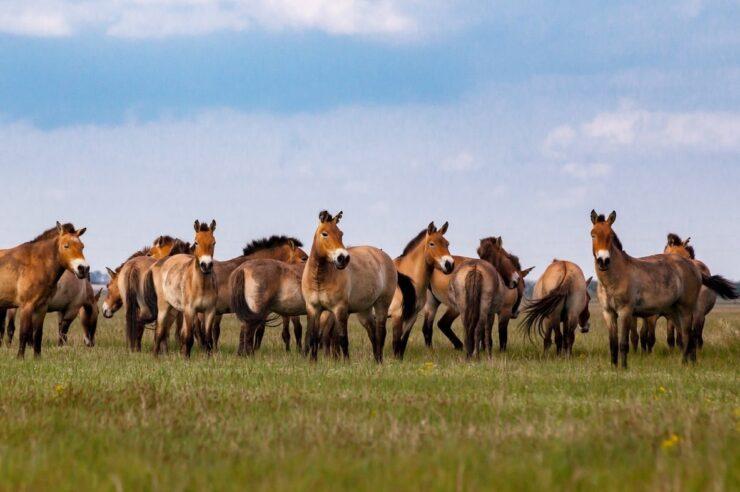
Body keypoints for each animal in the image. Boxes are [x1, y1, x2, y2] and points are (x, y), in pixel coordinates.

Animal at [0, 224, 89, 358]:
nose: (83, 268)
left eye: (82, 246)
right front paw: (20, 358)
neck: (35, 265)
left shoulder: (42, 307)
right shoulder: (26, 306)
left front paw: (37, 358)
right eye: (66, 245)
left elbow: (38, 334)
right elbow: (24, 333)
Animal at [145, 220, 218, 358]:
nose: (206, 265)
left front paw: (208, 358)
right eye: (196, 242)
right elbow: (188, 336)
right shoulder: (189, 311)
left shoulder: (209, 311)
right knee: (159, 330)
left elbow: (207, 338)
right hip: (164, 306)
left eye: (214, 242)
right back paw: (155, 356)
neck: (201, 285)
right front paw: (185, 358)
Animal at [300, 209, 416, 364]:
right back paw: (376, 360)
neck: (319, 279)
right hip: (365, 310)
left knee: (381, 333)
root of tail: (386, 257)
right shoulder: (313, 309)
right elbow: (312, 337)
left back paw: (380, 362)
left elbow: (343, 338)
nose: (343, 258)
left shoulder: (339, 309)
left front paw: (346, 363)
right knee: (372, 333)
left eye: (341, 233)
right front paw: (313, 363)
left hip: (382, 304)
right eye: (324, 234)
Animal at [384, 222, 454, 358]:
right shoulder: (396, 315)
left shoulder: (412, 316)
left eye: (447, 243)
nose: (449, 265)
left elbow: (403, 342)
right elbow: (396, 341)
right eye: (431, 243)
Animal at [588, 209, 736, 368]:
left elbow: (623, 343)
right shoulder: (608, 313)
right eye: (593, 234)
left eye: (610, 236)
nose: (603, 261)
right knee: (686, 336)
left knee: (687, 334)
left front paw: (624, 368)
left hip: (686, 309)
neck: (615, 278)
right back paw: (689, 362)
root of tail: (693, 266)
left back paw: (685, 364)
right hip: (674, 312)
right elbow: (613, 343)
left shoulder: (625, 312)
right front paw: (614, 367)